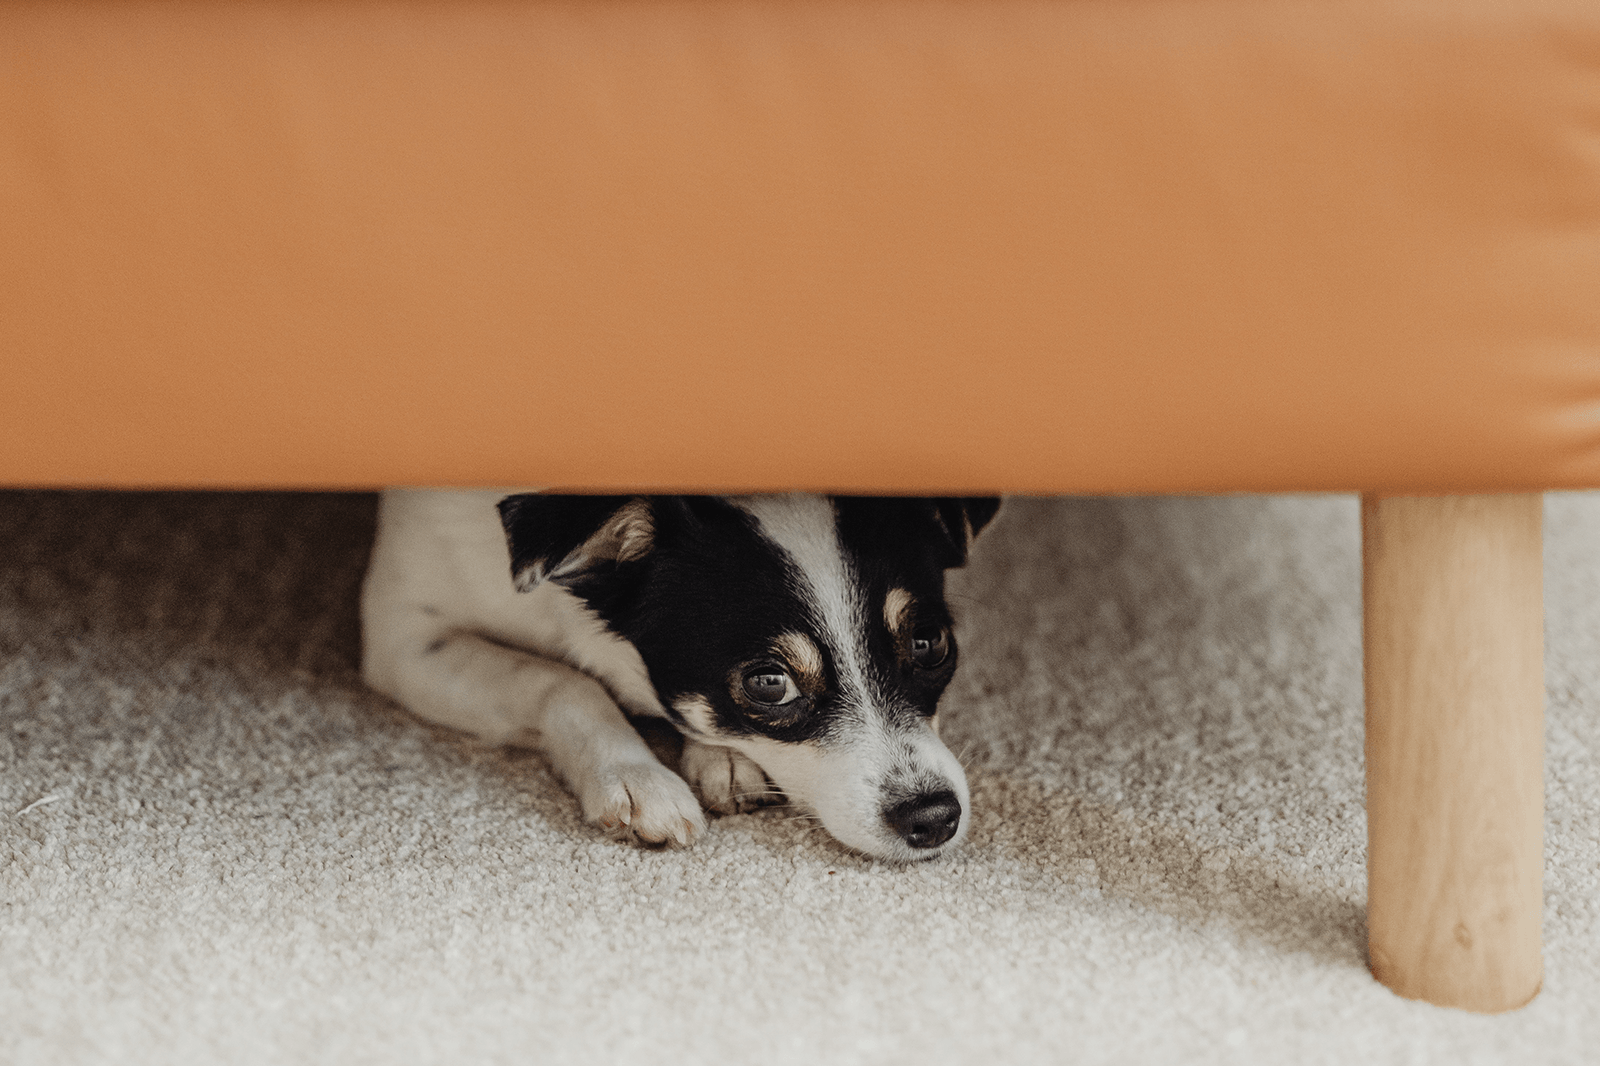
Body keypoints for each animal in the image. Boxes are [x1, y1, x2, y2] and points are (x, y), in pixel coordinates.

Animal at [360, 486, 998, 857]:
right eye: (769, 683)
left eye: (929, 644)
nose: (933, 817)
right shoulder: (404, 637)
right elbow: (564, 680)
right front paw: (637, 777)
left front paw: (723, 758)